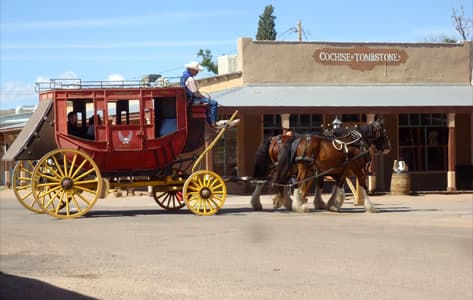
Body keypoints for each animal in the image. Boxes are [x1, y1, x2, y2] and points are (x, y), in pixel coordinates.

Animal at [249, 120, 390, 212]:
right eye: (383, 132)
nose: (388, 147)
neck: (355, 143)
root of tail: (275, 139)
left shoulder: (338, 171)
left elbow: (334, 187)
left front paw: (331, 204)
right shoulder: (357, 169)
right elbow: (362, 186)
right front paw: (371, 207)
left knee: (268, 181)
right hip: (300, 167)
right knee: (293, 183)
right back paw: (298, 206)